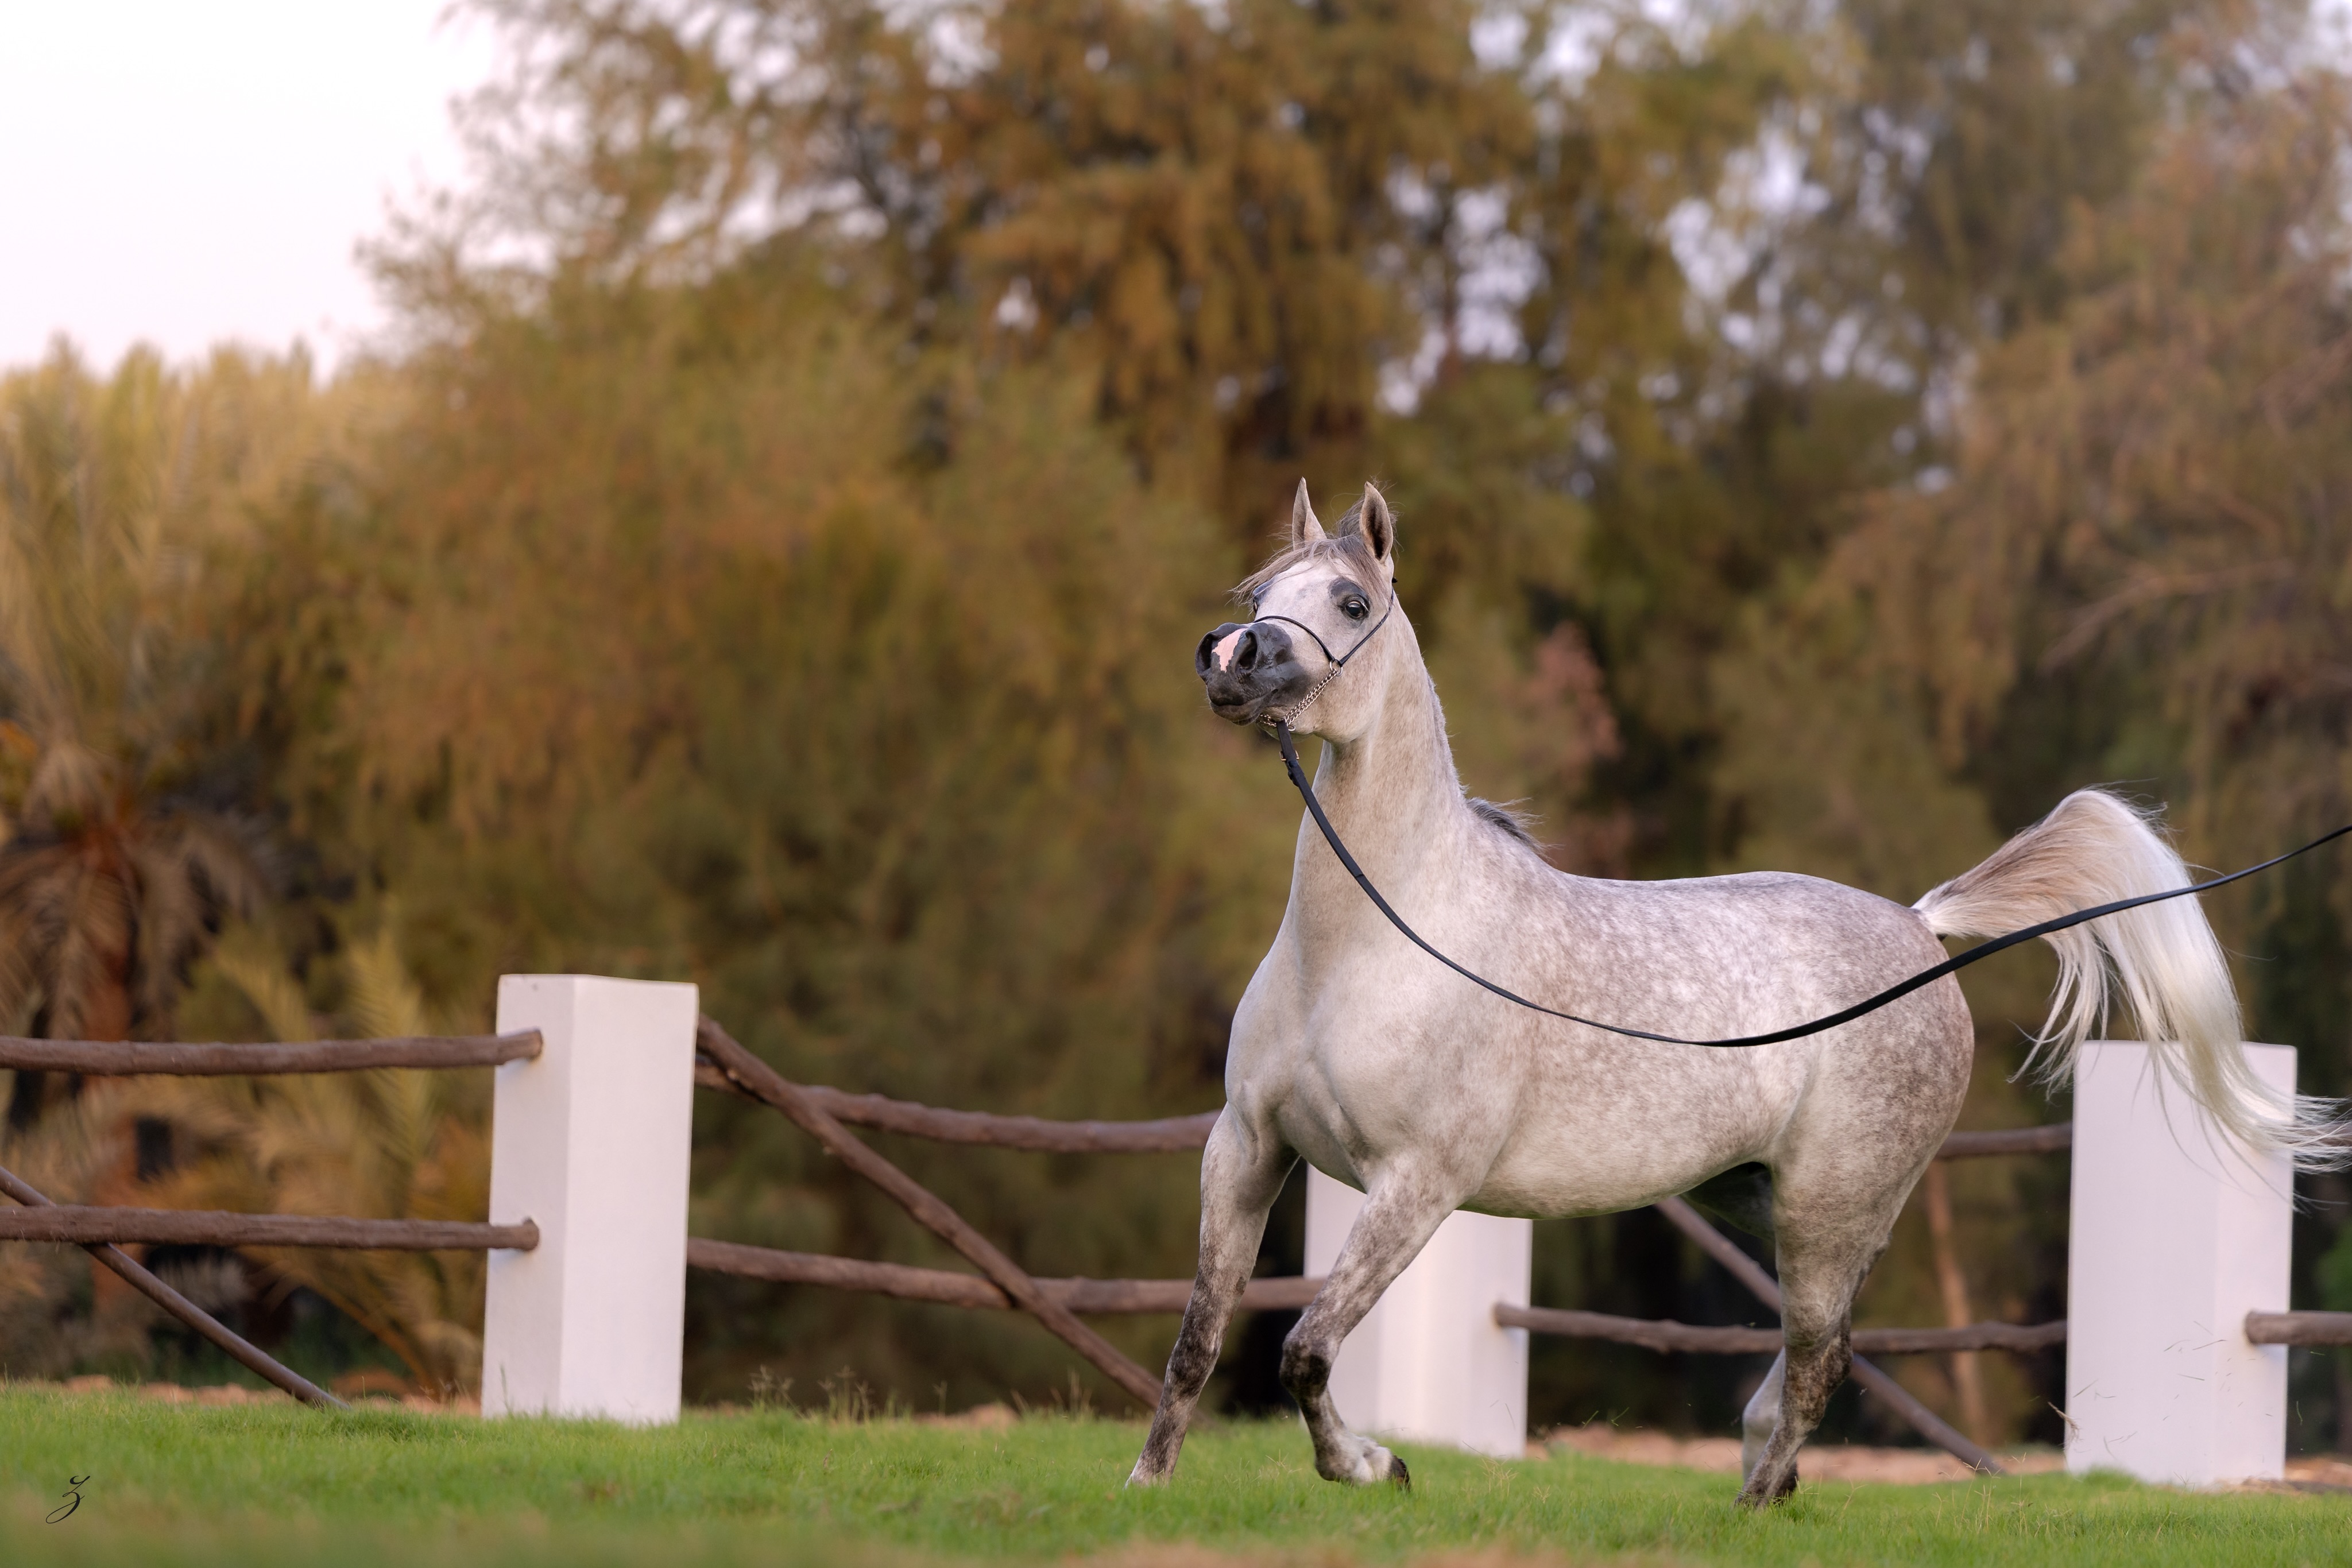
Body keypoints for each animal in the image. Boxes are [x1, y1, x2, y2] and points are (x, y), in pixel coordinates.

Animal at [1127, 479, 2343, 1508]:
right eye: (1256, 596)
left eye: (1347, 600)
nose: (1232, 658)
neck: (1376, 942)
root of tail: (1920, 925)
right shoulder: (1246, 1148)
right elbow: (1199, 1338)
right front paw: (1145, 1487)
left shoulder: (1417, 1183)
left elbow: (1305, 1350)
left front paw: (1375, 1467)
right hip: (1763, 1199)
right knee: (1815, 1357)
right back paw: (1771, 1479)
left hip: (1827, 1209)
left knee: (1816, 1358)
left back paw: (1758, 1503)